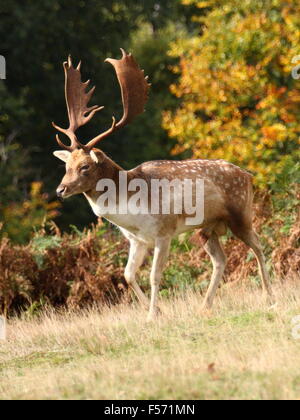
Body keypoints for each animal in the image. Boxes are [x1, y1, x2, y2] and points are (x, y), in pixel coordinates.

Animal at [52, 48, 274, 322]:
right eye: (66, 166)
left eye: (84, 166)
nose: (60, 189)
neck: (131, 208)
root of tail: (249, 175)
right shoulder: (136, 240)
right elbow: (128, 274)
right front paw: (157, 311)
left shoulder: (163, 231)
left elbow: (154, 276)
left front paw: (151, 315)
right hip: (207, 228)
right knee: (220, 260)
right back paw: (205, 306)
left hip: (240, 212)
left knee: (258, 245)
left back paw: (269, 298)